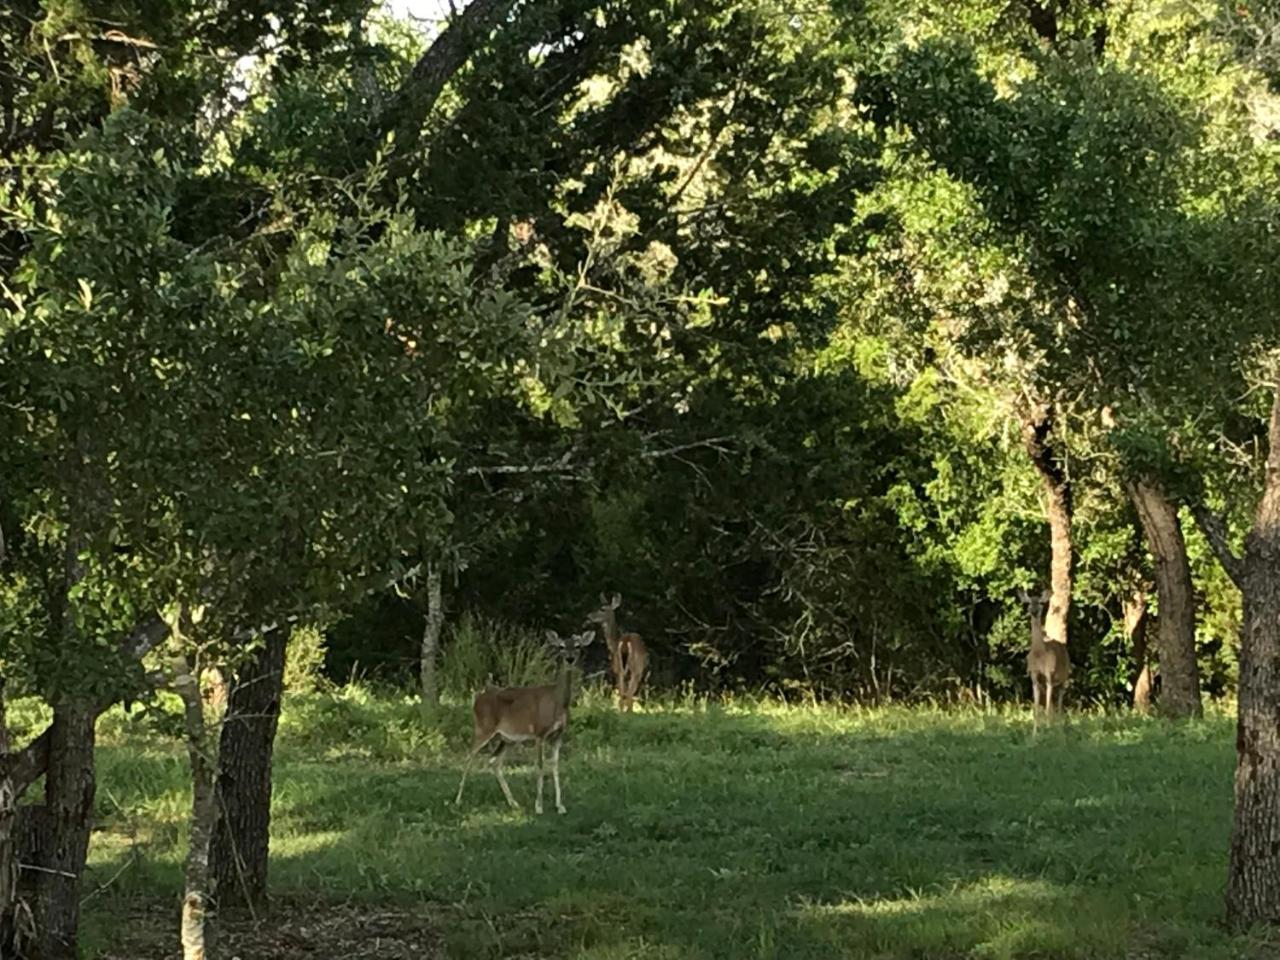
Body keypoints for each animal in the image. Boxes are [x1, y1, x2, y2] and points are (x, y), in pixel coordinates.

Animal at [455, 632, 593, 819]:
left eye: (578, 646)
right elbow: (540, 766)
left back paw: (513, 803)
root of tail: (478, 699)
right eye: (561, 646)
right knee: (469, 758)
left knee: (494, 761)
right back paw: (458, 800)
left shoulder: (558, 735)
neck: (557, 702)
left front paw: (560, 806)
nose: (570, 659)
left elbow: (555, 766)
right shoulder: (539, 733)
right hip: (483, 728)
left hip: (506, 738)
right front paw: (539, 806)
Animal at [1018, 586, 1070, 727]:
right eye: (1029, 603)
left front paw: (1048, 729)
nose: (1034, 611)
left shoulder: (1049, 675)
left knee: (1059, 703)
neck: (1039, 654)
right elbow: (1036, 710)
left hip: (1064, 678)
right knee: (1052, 705)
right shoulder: (1034, 677)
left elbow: (1046, 709)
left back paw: (1059, 725)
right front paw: (1035, 732)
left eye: (1041, 603)